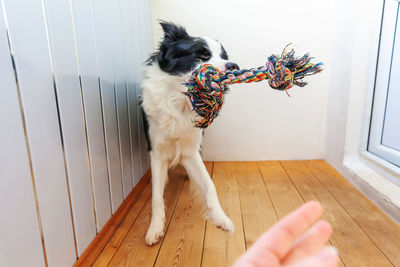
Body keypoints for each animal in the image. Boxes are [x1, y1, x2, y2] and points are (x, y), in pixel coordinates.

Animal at [141, 22, 239, 246]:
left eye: (225, 56)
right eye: (202, 55)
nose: (234, 67)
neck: (180, 102)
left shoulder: (190, 150)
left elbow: (210, 185)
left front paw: (220, 218)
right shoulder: (157, 151)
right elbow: (156, 195)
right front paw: (155, 228)